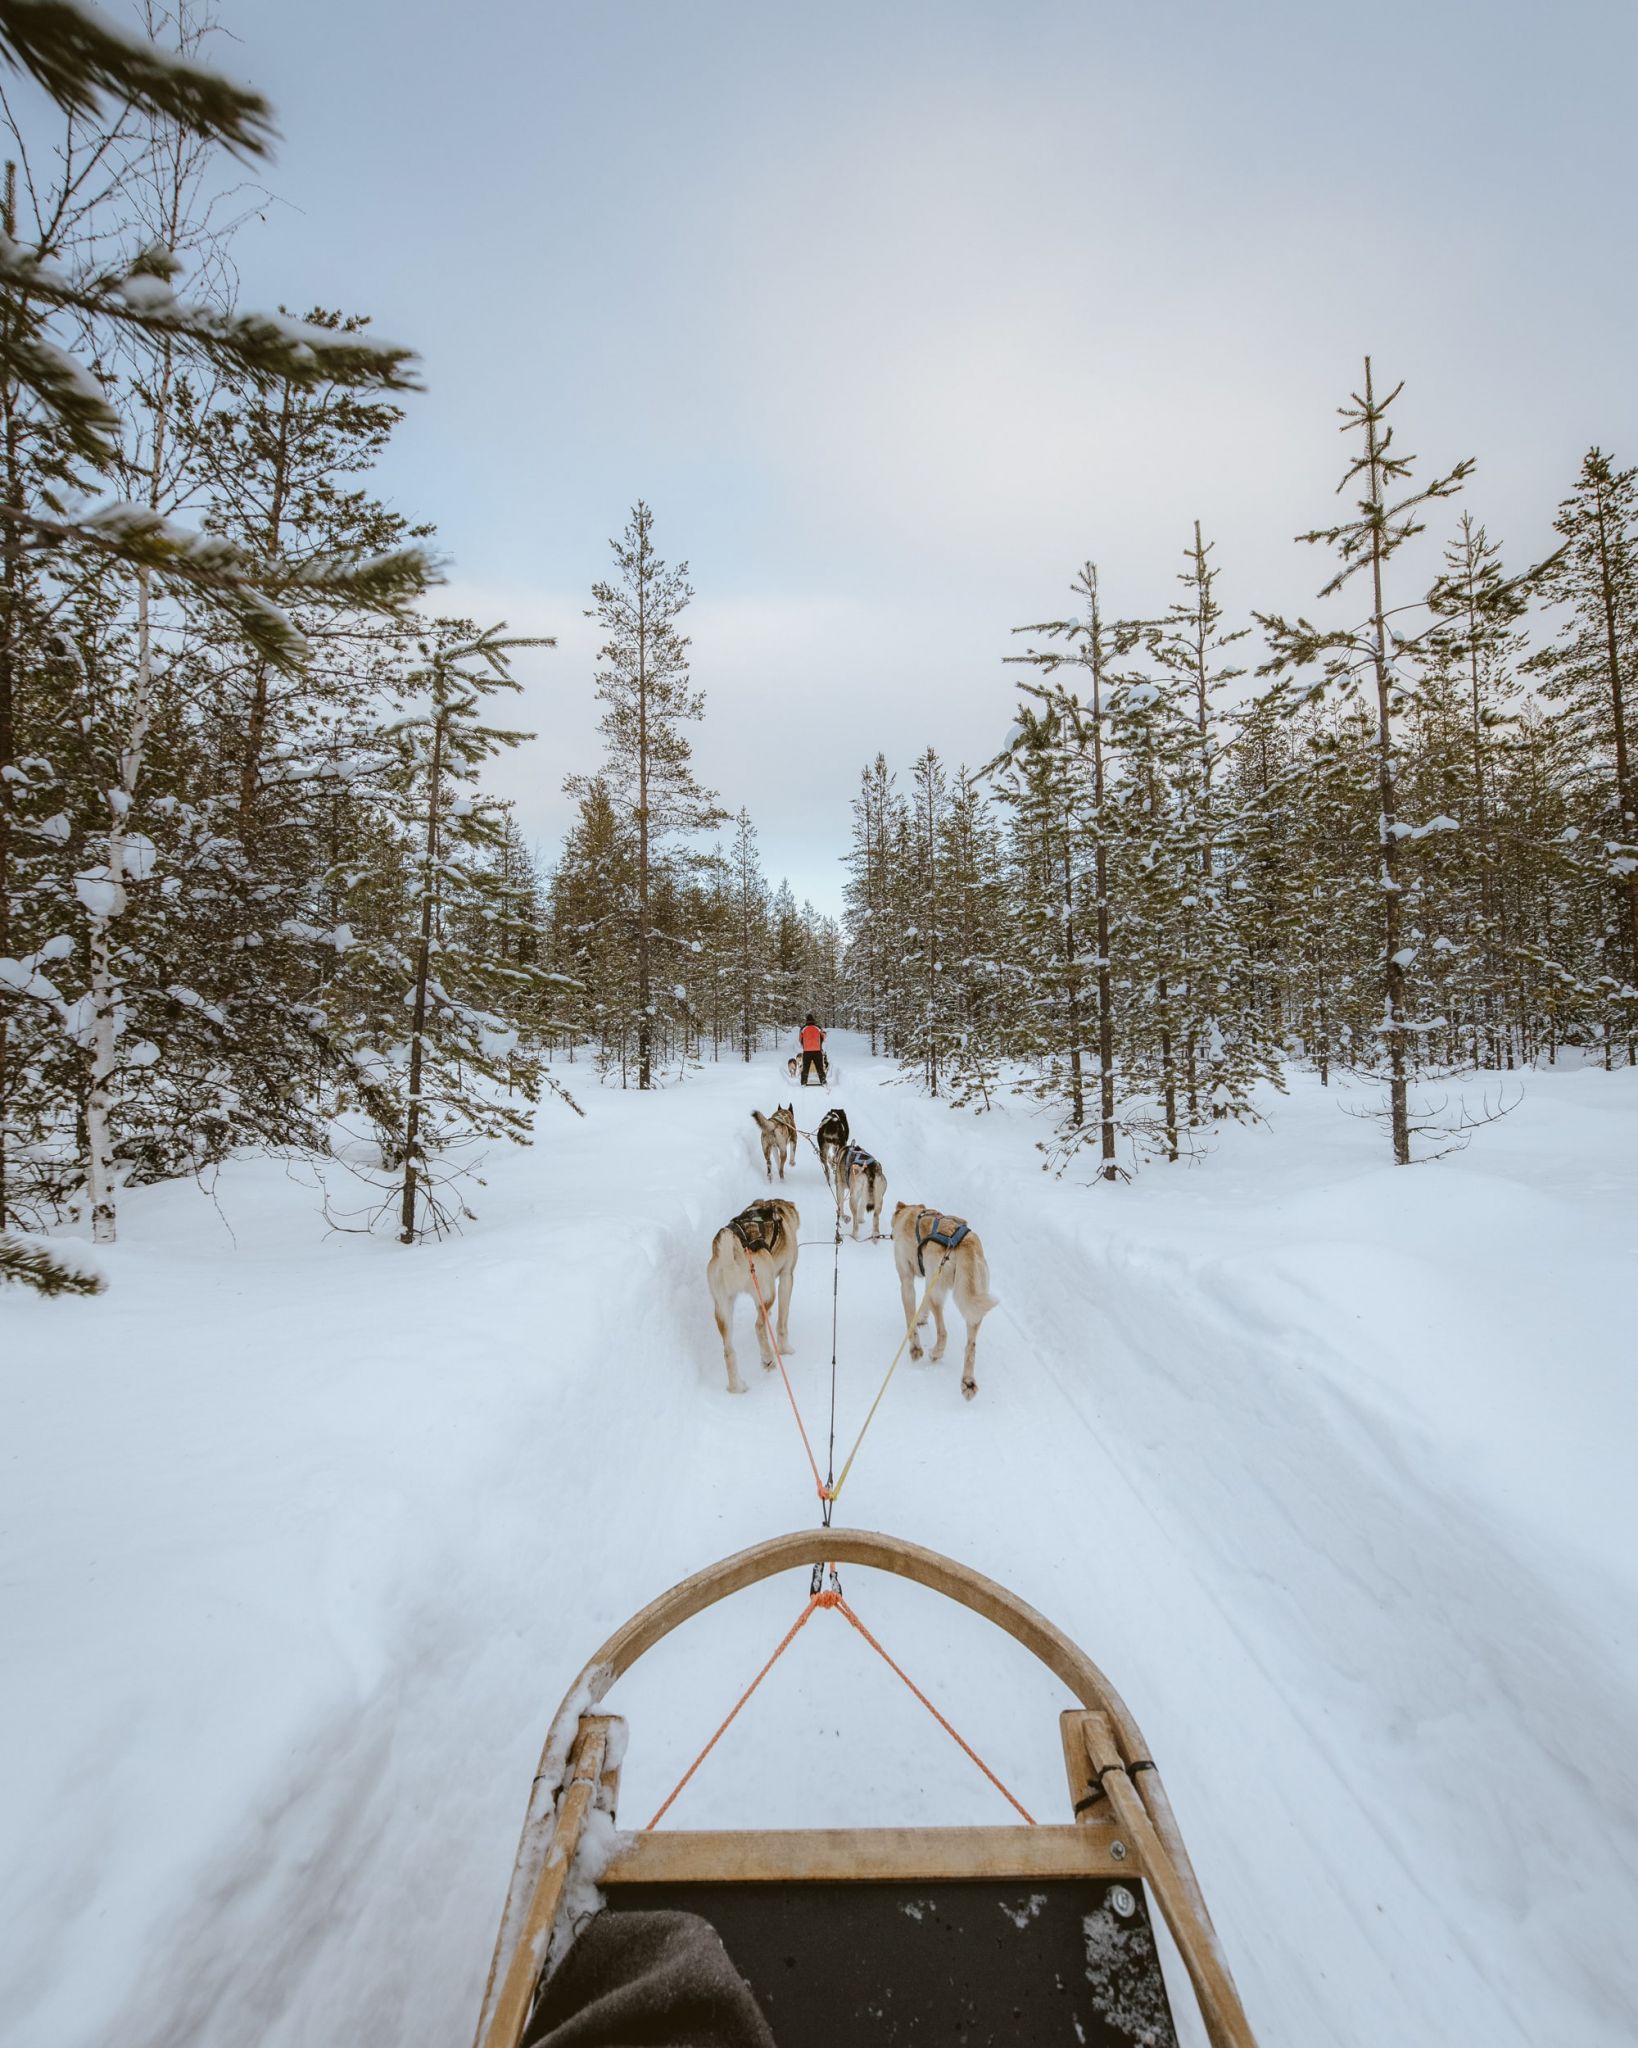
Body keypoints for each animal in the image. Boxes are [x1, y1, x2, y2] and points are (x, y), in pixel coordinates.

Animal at [708, 1196, 798, 1392]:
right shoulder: (787, 1277)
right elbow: (782, 1321)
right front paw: (785, 1349)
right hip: (768, 1291)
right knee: (758, 1326)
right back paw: (768, 1358)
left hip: (723, 1309)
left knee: (729, 1351)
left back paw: (737, 1387)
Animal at [896, 1204, 999, 1400]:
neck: (912, 1214)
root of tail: (965, 1245)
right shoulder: (928, 1281)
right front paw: (921, 1318)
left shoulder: (907, 1281)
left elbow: (910, 1318)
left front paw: (915, 1348)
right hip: (973, 1303)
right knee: (971, 1347)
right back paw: (968, 1382)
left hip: (936, 1292)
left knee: (943, 1333)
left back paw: (936, 1353)